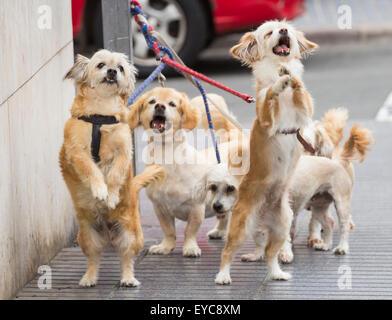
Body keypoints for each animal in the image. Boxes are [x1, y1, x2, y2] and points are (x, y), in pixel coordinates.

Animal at [214, 21, 318, 284]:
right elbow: (270, 94)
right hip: (240, 227)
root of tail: (262, 217)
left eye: (286, 28)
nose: (283, 31)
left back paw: (277, 273)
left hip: (282, 227)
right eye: (270, 32)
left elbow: (300, 91)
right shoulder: (267, 120)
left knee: (271, 254)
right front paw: (278, 83)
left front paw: (290, 76)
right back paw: (222, 275)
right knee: (227, 251)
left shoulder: (305, 112)